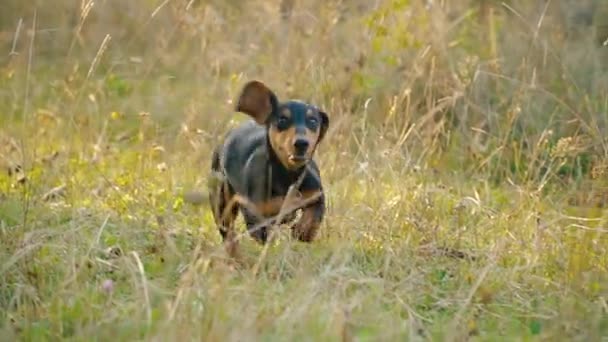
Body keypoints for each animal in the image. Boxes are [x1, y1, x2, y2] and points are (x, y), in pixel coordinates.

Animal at [210, 81, 332, 256]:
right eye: (282, 119)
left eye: (313, 121)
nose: (302, 143)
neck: (287, 175)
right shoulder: (254, 215)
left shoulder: (316, 194)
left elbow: (314, 214)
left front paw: (303, 230)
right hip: (221, 201)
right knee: (228, 233)